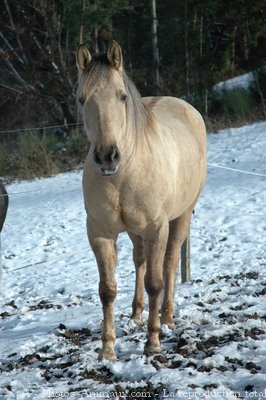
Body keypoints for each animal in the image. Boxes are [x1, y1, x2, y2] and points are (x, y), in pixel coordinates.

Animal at [76, 41, 207, 362]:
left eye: (122, 96)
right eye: (82, 100)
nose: (107, 157)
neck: (122, 174)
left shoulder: (156, 228)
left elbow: (155, 282)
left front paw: (153, 342)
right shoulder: (99, 233)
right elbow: (107, 289)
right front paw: (108, 349)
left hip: (180, 217)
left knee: (169, 263)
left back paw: (168, 317)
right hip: (135, 232)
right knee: (140, 262)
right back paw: (136, 315)